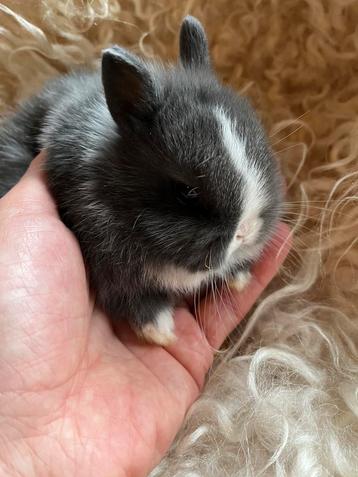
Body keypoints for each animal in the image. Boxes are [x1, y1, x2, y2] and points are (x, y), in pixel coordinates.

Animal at [0, 14, 282, 342]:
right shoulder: (112, 268)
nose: (246, 231)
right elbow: (135, 300)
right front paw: (161, 331)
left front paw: (239, 278)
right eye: (186, 190)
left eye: (263, 147)